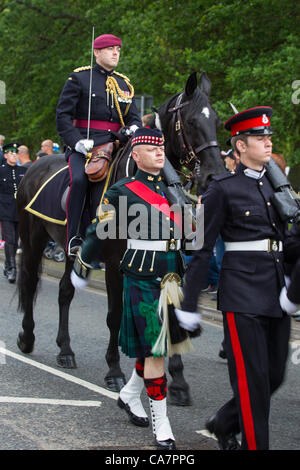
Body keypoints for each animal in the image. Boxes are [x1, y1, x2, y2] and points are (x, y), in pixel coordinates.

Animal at [15, 71, 224, 406]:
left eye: (216, 120)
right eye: (191, 121)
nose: (214, 175)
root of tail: (33, 166)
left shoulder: (168, 261)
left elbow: (169, 314)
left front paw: (178, 382)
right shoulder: (115, 263)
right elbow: (114, 315)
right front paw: (114, 371)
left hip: (72, 250)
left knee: (64, 291)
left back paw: (65, 350)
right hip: (32, 239)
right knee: (31, 283)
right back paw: (27, 337)